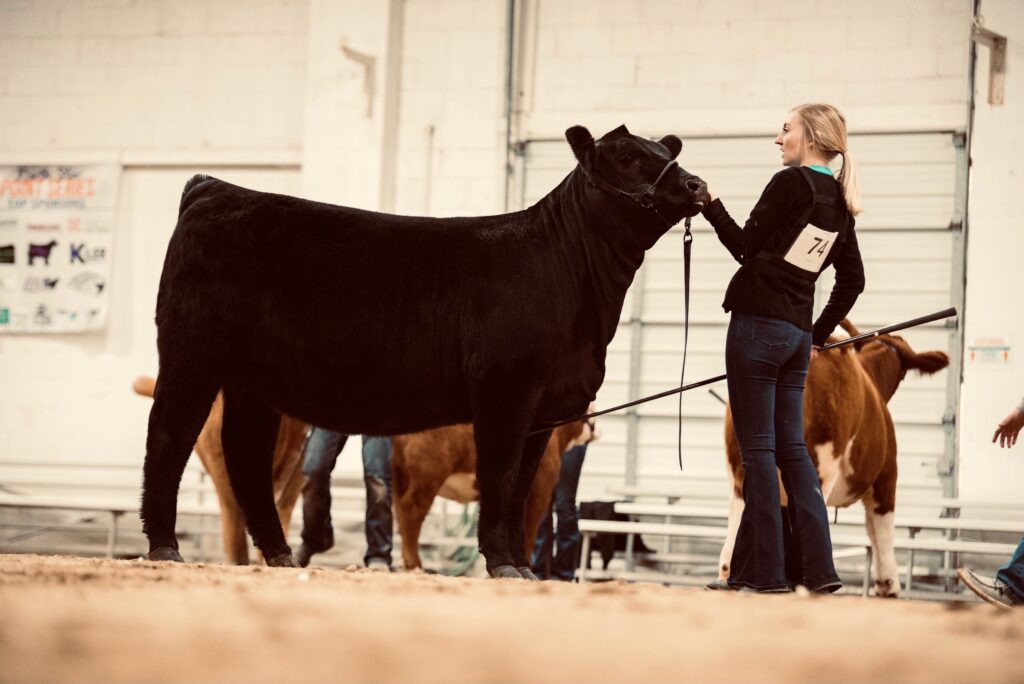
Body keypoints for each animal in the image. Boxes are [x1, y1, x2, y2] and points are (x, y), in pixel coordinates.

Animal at [391, 419, 593, 571]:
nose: (594, 426)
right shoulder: (540, 491)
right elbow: (529, 529)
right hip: (428, 475)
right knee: (412, 510)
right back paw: (415, 565)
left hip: (400, 477)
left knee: (400, 511)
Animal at [717, 320, 950, 596]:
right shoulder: (886, 477)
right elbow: (880, 530)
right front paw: (888, 584)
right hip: (823, 466)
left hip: (739, 468)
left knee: (730, 546)